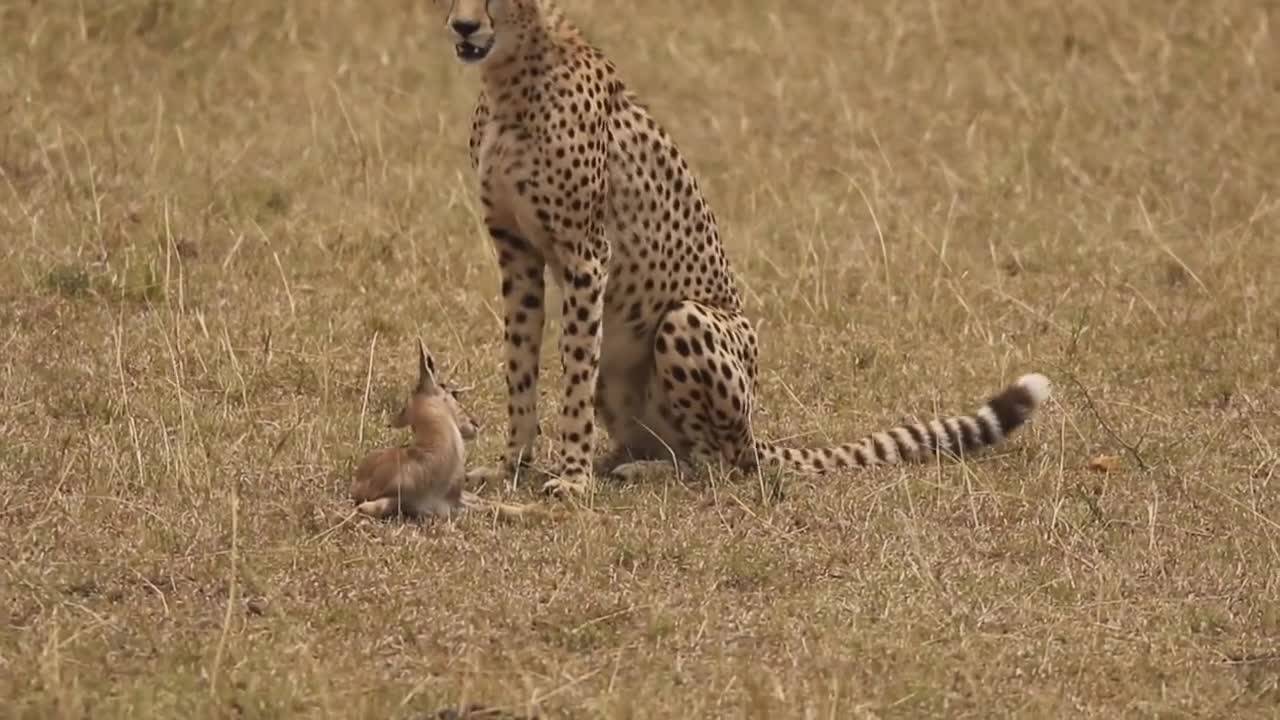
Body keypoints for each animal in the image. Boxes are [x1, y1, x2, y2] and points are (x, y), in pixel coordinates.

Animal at [435, 0, 1054, 491]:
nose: (463, 26)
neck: (511, 73)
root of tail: (755, 432)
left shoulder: (586, 253)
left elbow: (573, 374)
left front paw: (571, 476)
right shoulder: (516, 250)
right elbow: (520, 364)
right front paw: (513, 467)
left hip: (686, 321)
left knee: (718, 461)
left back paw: (643, 472)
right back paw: (624, 462)